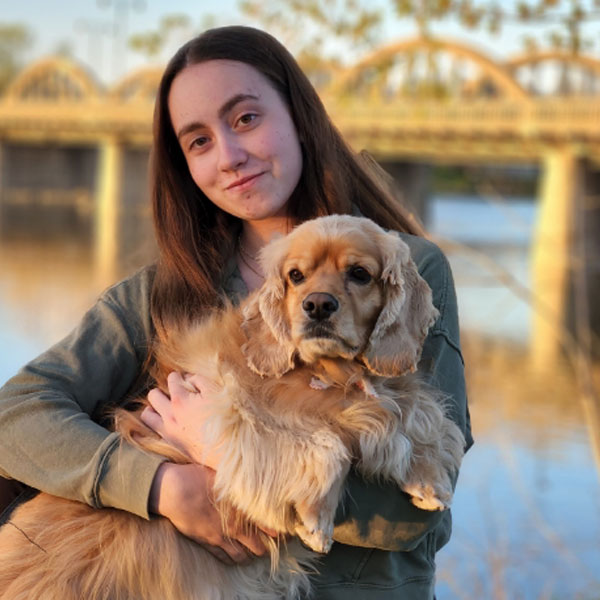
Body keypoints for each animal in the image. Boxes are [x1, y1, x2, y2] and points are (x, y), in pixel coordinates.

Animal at [0, 216, 464, 600]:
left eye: (360, 274)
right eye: (296, 275)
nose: (317, 305)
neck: (326, 371)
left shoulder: (379, 394)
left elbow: (419, 415)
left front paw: (429, 480)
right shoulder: (234, 415)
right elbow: (328, 446)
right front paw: (317, 520)